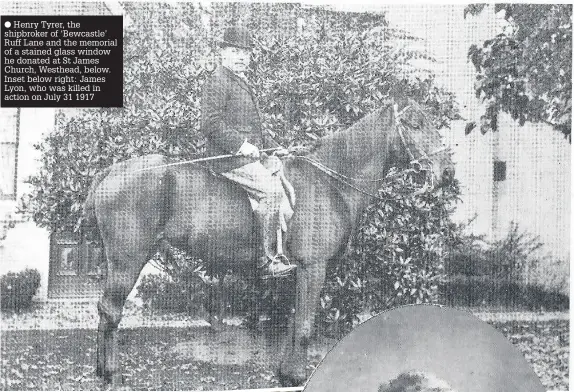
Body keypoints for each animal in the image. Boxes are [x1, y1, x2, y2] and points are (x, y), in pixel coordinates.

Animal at [83, 102, 456, 388]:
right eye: (415, 123)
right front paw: (295, 376)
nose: (447, 172)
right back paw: (112, 374)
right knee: (111, 311)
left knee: (104, 311)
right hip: (128, 260)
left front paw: (284, 372)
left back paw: (101, 370)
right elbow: (304, 326)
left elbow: (293, 322)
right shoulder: (313, 268)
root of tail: (113, 172)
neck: (329, 181)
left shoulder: (301, 272)